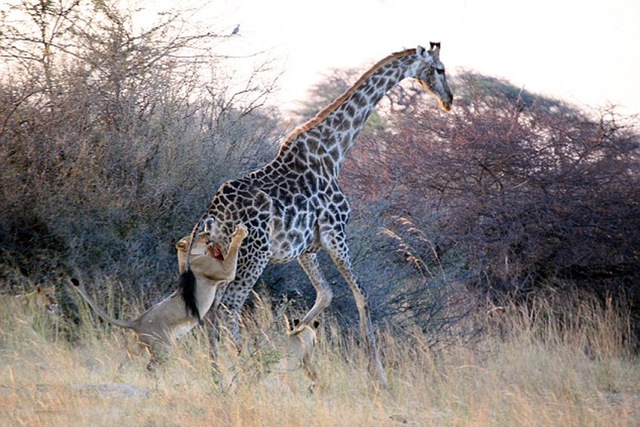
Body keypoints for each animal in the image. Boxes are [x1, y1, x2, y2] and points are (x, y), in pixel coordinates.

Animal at [178, 43, 452, 388]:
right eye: (440, 69)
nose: (449, 99)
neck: (334, 152)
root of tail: (212, 213)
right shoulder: (336, 233)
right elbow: (361, 295)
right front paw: (379, 377)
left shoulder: (306, 248)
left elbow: (326, 293)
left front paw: (297, 336)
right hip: (254, 253)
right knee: (230, 305)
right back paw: (244, 373)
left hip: (221, 254)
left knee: (213, 307)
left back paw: (218, 375)